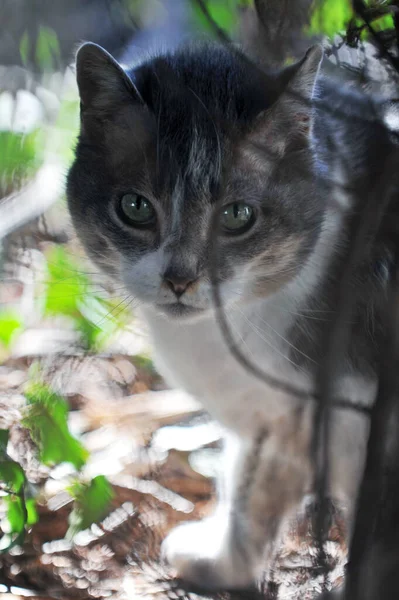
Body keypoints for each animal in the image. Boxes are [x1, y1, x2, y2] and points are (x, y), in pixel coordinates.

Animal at [67, 39, 398, 592]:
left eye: (238, 216)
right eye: (135, 207)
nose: (180, 279)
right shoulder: (274, 421)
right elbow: (246, 489)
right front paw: (223, 561)